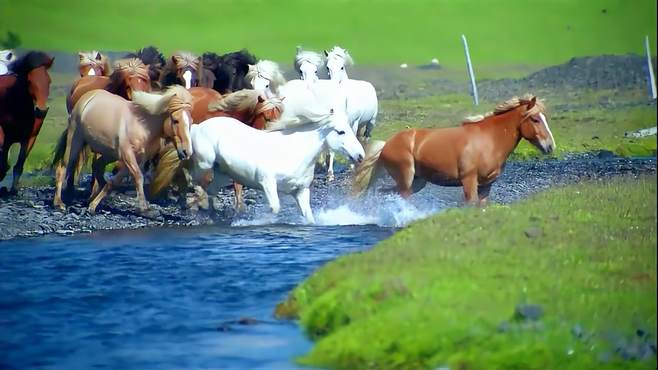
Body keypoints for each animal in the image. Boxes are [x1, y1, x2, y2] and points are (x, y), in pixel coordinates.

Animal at [0, 51, 53, 194]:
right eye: (29, 81)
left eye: (49, 81)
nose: (41, 111)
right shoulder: (4, 136)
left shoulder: (29, 138)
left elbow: (18, 165)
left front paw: (14, 190)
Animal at [53, 86, 192, 214]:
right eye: (175, 120)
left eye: (190, 122)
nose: (187, 152)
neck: (143, 125)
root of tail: (88, 96)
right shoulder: (127, 155)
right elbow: (138, 177)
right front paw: (144, 208)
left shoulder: (137, 160)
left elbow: (115, 181)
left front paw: (93, 205)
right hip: (75, 141)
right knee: (63, 167)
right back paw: (59, 203)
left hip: (109, 153)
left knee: (97, 166)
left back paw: (92, 196)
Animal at [190, 82, 364, 224]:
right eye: (341, 132)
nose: (360, 156)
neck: (296, 153)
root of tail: (199, 126)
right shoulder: (267, 182)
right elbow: (274, 208)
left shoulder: (301, 191)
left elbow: (309, 217)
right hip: (204, 165)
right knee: (196, 181)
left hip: (222, 173)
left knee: (210, 191)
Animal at [348, 94, 552, 205]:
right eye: (535, 119)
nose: (550, 146)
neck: (489, 141)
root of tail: (388, 143)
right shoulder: (469, 181)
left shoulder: (487, 186)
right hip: (406, 180)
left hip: (417, 182)